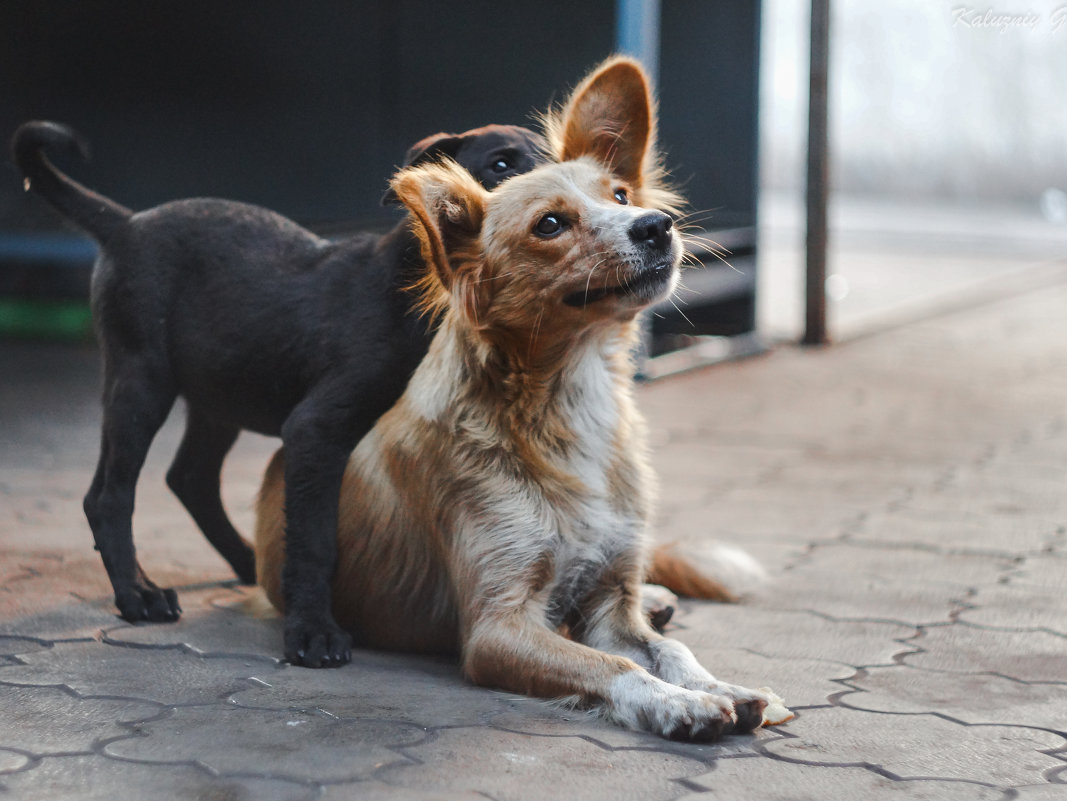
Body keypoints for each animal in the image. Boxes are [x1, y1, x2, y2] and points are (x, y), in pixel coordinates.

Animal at [14, 120, 550, 669]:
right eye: (500, 164)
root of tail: (126, 223)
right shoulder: (316, 430)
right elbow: (314, 540)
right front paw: (313, 633)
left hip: (219, 391)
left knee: (189, 477)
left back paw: (244, 562)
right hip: (141, 378)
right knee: (110, 495)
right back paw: (139, 595)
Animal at [258, 57, 776, 746]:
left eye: (620, 197)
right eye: (549, 225)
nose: (656, 226)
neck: (568, 400)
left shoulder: (611, 605)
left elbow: (669, 652)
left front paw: (719, 686)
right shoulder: (497, 628)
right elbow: (615, 666)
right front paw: (681, 706)